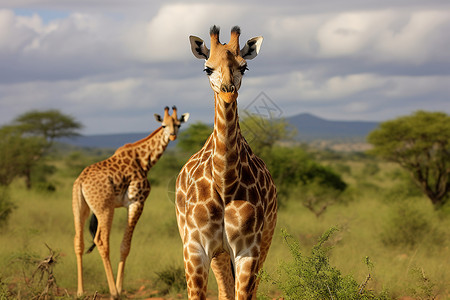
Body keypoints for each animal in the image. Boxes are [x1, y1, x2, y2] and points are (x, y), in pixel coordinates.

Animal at [72, 106, 188, 298]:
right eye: (163, 125)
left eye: (178, 124)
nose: (172, 136)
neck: (144, 160)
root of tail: (81, 182)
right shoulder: (137, 201)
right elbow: (125, 246)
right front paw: (119, 288)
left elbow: (123, 245)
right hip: (105, 208)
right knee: (102, 241)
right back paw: (113, 292)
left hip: (80, 208)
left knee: (78, 241)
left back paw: (80, 291)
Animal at [176, 25, 278, 300]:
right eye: (207, 68)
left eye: (244, 66)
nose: (228, 91)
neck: (224, 180)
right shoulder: (195, 247)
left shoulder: (248, 249)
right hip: (216, 251)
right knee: (224, 290)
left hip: (264, 240)